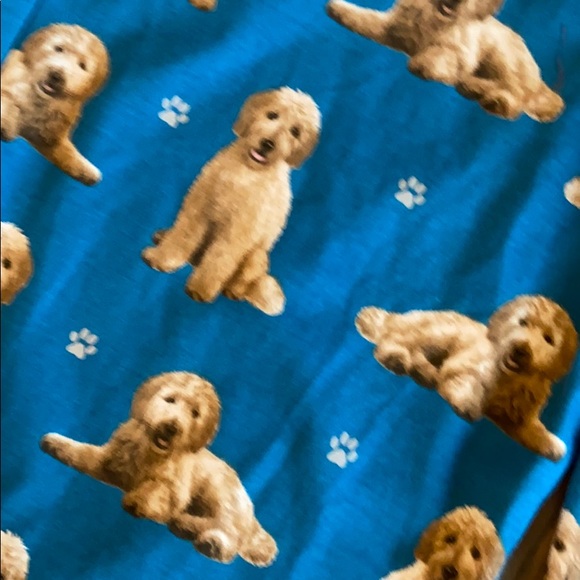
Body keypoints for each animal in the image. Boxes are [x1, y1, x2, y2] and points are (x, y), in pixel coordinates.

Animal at [1, 24, 110, 185]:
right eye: (59, 48)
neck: (39, 99)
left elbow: (67, 154)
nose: (56, 75)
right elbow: (8, 100)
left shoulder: (50, 136)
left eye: (82, 65)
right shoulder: (8, 80)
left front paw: (87, 172)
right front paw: (7, 123)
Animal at [40, 372, 278, 566]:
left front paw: (138, 502)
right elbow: (82, 452)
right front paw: (55, 443)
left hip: (219, 495)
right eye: (170, 400)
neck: (151, 453)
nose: (172, 427)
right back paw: (186, 526)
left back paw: (209, 541)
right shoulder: (109, 463)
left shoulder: (174, 487)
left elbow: (158, 491)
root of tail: (252, 517)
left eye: (195, 413)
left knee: (230, 535)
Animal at [142, 87, 321, 316]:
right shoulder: (197, 207)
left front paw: (201, 288)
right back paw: (163, 236)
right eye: (272, 115)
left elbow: (220, 259)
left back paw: (233, 290)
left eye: (295, 131)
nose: (268, 144)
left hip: (257, 257)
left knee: (244, 279)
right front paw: (161, 259)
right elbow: (182, 237)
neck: (245, 173)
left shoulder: (238, 232)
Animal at [326, 0, 564, 122]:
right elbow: (364, 18)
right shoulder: (391, 30)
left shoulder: (460, 52)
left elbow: (439, 56)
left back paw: (494, 101)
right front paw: (339, 9)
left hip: (502, 59)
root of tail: (539, 81)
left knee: (516, 99)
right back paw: (474, 88)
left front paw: (422, 65)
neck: (433, 17)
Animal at [356, 295, 578, 461]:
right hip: (437, 334)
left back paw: (422, 371)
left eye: (548, 339)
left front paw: (551, 444)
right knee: (387, 344)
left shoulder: (519, 414)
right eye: (523, 322)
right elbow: (464, 384)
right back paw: (403, 361)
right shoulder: (462, 368)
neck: (512, 379)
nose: (521, 348)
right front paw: (467, 403)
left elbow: (531, 430)